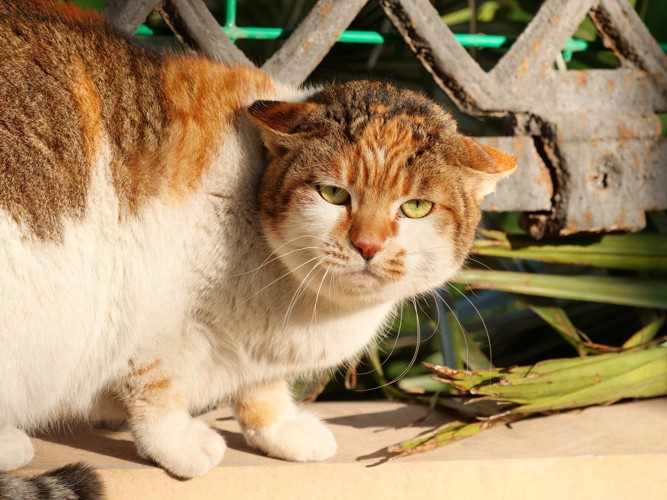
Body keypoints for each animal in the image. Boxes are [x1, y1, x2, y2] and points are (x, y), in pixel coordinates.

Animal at [0, 0, 516, 496]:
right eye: (333, 194)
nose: (367, 244)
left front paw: (280, 429)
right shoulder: (149, 307)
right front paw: (177, 444)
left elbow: (261, 387)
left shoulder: (259, 358)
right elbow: (154, 384)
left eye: (415, 207)